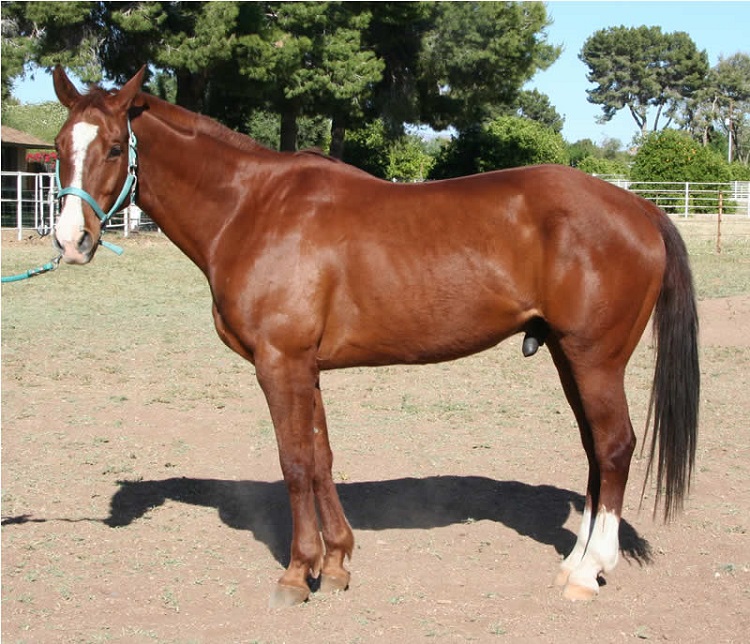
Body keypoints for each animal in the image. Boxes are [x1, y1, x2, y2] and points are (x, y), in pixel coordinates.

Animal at [51, 66, 699, 606]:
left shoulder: (279, 362)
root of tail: (639, 207)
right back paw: (576, 560)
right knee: (594, 451)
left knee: (614, 448)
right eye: (58, 148)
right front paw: (336, 563)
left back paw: (588, 572)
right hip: (568, 356)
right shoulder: (305, 367)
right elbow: (320, 458)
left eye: (114, 147)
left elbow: (294, 462)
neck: (252, 208)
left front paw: (298, 574)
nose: (70, 241)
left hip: (595, 359)